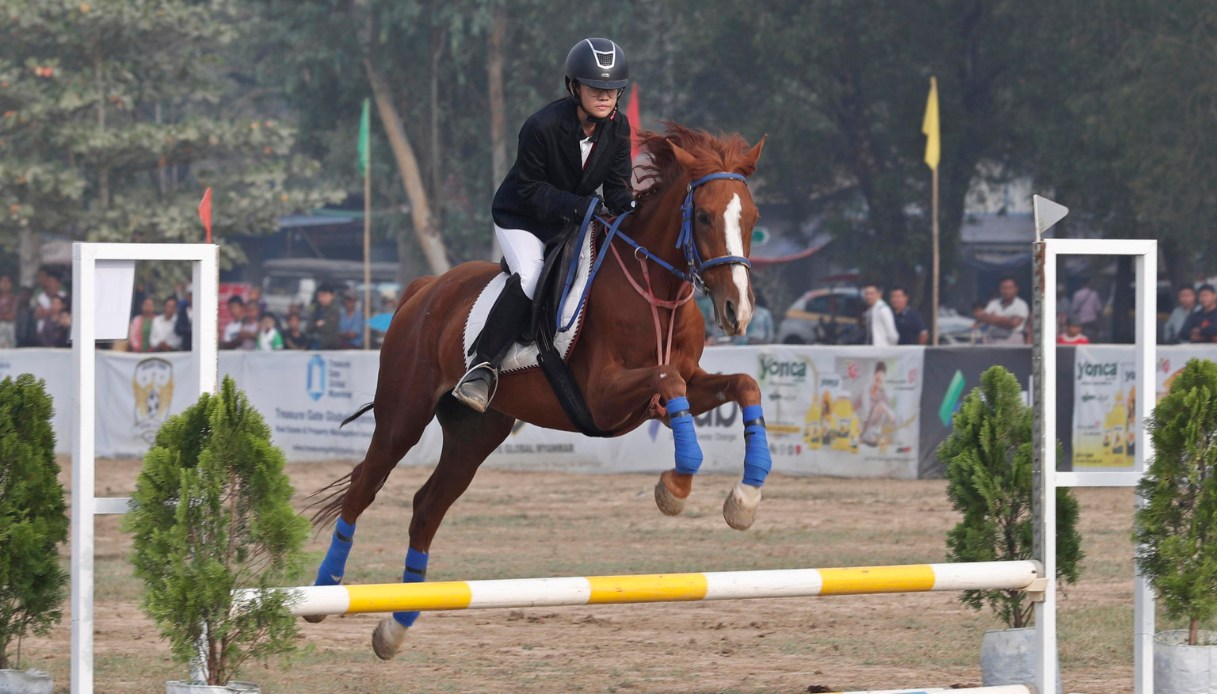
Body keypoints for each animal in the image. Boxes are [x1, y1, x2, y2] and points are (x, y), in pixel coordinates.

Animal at [309, 124, 774, 657]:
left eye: (753, 218)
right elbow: (667, 382)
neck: (654, 288)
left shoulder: (682, 388)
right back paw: (323, 592)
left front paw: (744, 500)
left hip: (476, 433)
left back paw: (394, 627)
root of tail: (424, 289)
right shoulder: (604, 397)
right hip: (402, 416)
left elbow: (744, 386)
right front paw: (674, 489)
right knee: (363, 488)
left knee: (426, 508)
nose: (738, 310)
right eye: (702, 216)